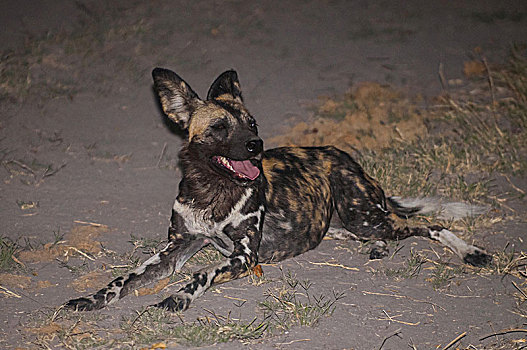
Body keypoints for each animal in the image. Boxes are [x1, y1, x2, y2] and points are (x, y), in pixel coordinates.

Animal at [65, 68, 490, 312]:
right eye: (220, 127)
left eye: (252, 123)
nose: (257, 145)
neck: (213, 190)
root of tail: (344, 156)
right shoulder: (175, 249)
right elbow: (123, 280)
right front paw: (91, 299)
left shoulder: (243, 256)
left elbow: (202, 274)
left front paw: (180, 296)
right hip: (344, 223)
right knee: (385, 230)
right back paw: (379, 249)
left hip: (362, 214)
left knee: (429, 226)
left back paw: (471, 252)